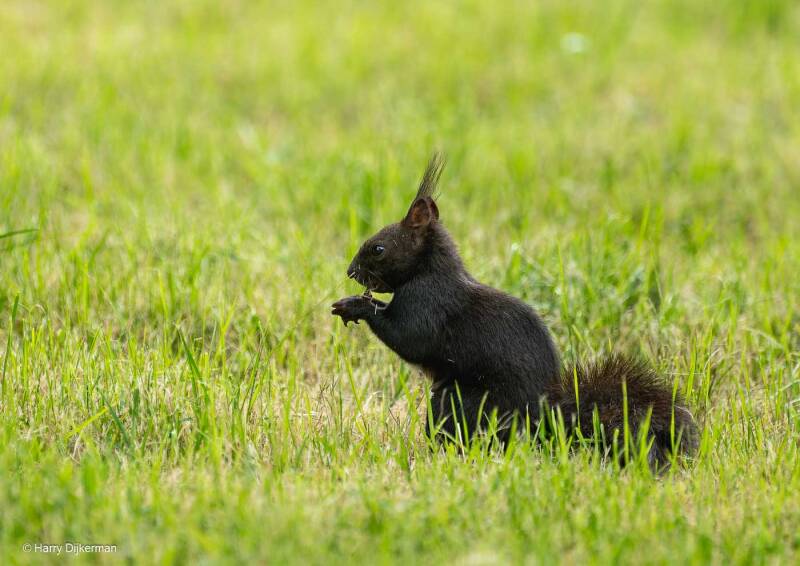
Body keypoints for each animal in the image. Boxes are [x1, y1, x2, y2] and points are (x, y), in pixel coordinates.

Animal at [332, 153, 698, 469]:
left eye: (378, 248)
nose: (350, 271)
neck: (429, 269)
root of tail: (545, 423)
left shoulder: (430, 303)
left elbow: (409, 339)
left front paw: (354, 306)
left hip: (462, 403)